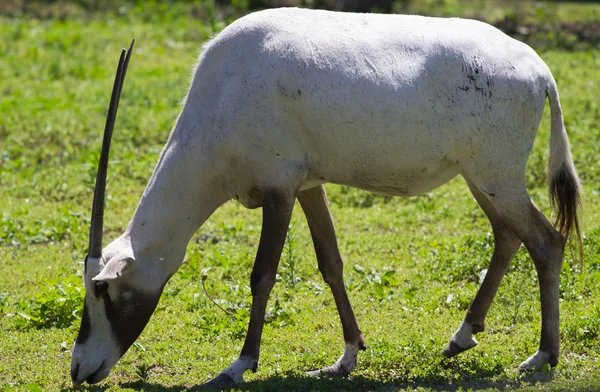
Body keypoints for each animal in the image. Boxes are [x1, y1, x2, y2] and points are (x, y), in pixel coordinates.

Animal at [70, 7, 580, 388]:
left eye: (103, 290)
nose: (79, 369)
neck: (223, 92)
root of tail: (540, 71)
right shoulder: (307, 185)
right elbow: (330, 263)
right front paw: (346, 357)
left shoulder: (278, 185)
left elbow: (262, 275)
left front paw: (238, 365)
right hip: (484, 178)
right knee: (508, 237)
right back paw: (461, 338)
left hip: (494, 175)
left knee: (546, 241)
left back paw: (542, 356)